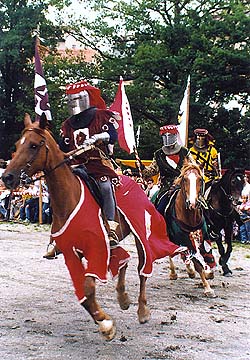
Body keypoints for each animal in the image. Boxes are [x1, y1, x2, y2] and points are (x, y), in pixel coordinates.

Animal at [1, 113, 155, 340]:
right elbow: (84, 294)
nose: (7, 177)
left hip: (139, 234)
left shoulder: (95, 249)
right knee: (123, 261)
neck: (69, 198)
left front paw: (106, 324)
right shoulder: (72, 252)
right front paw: (104, 321)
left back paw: (142, 310)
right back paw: (123, 298)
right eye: (17, 144)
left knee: (141, 268)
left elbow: (89, 288)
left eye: (34, 145)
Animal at [163, 162, 216, 296]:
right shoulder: (183, 238)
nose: (192, 203)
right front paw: (208, 288)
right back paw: (174, 273)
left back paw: (189, 271)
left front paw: (208, 273)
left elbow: (207, 254)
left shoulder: (203, 236)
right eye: (184, 179)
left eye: (200, 179)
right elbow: (197, 264)